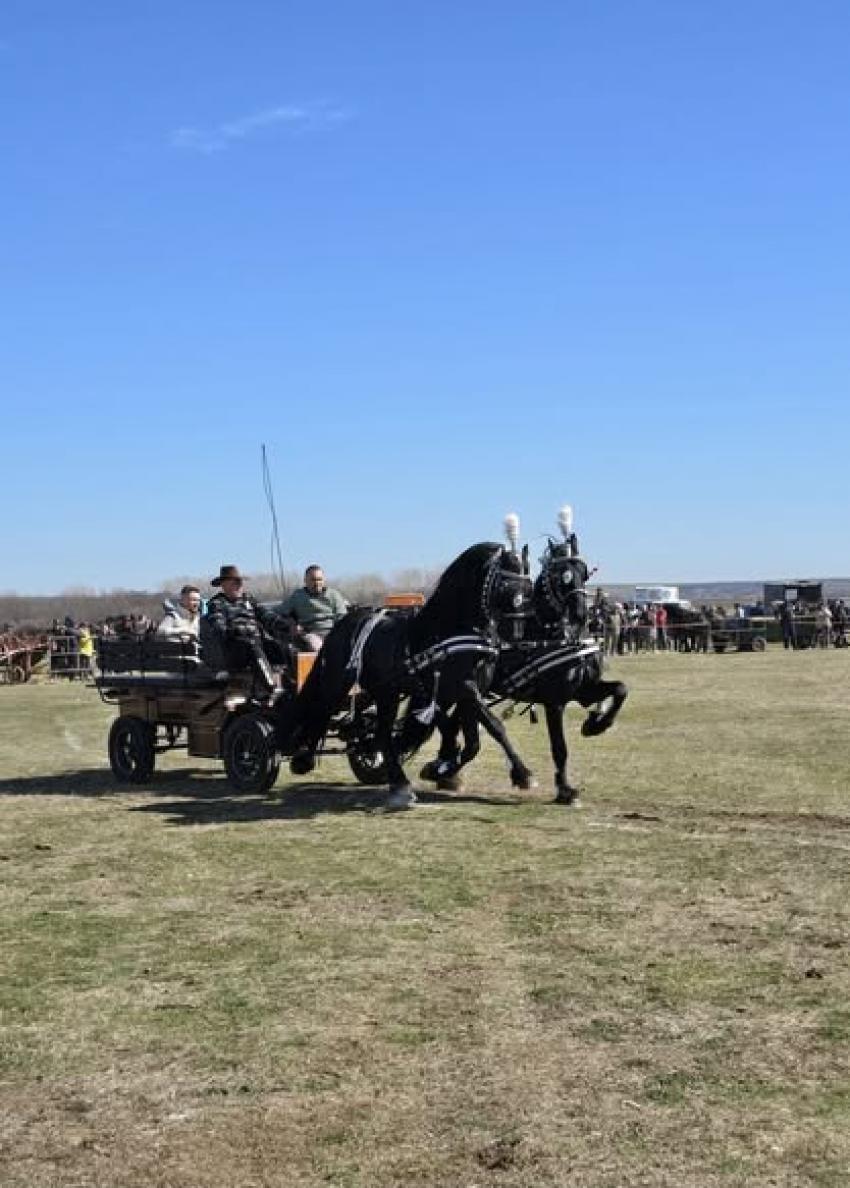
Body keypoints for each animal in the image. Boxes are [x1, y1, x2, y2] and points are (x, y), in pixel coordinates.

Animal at [272, 544, 527, 807]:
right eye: (508, 585)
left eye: (527, 583)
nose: (517, 631)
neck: (452, 629)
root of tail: (344, 623)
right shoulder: (463, 686)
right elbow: (491, 726)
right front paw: (522, 774)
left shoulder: (469, 689)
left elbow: (472, 739)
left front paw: (443, 769)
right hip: (337, 683)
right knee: (321, 711)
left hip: (385, 691)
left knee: (377, 732)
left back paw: (393, 779)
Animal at [423, 534, 627, 803]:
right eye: (562, 575)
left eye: (584, 572)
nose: (581, 614)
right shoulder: (555, 701)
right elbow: (559, 747)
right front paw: (565, 789)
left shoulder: (583, 690)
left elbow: (620, 689)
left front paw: (596, 724)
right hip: (456, 690)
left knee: (456, 725)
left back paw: (445, 771)